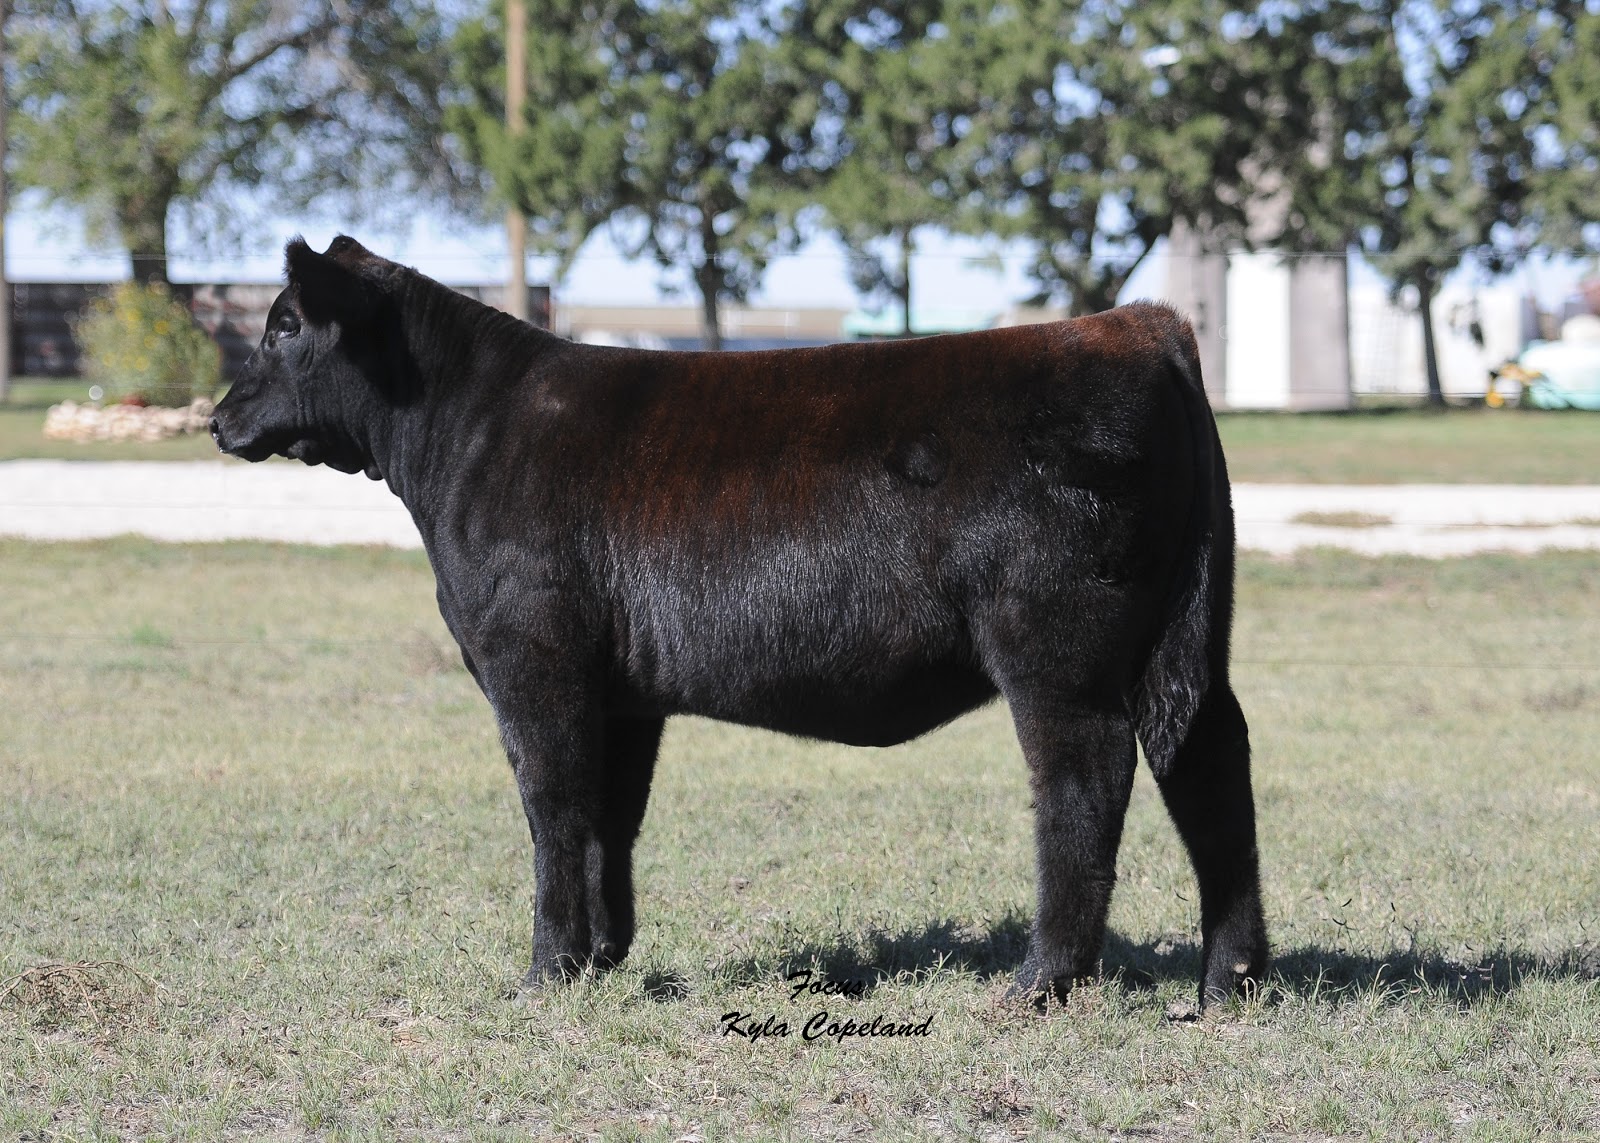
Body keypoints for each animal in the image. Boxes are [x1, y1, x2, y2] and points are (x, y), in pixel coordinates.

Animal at [210, 235, 1267, 1009]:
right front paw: (603, 955)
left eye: (284, 325)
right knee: (1210, 761)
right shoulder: (622, 692)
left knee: (1085, 779)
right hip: (1186, 643)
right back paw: (1231, 979)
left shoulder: (533, 661)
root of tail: (1133, 325)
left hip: (1055, 650)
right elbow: (611, 815)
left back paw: (1041, 982)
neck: (467, 431)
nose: (217, 418)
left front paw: (546, 972)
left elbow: (553, 804)